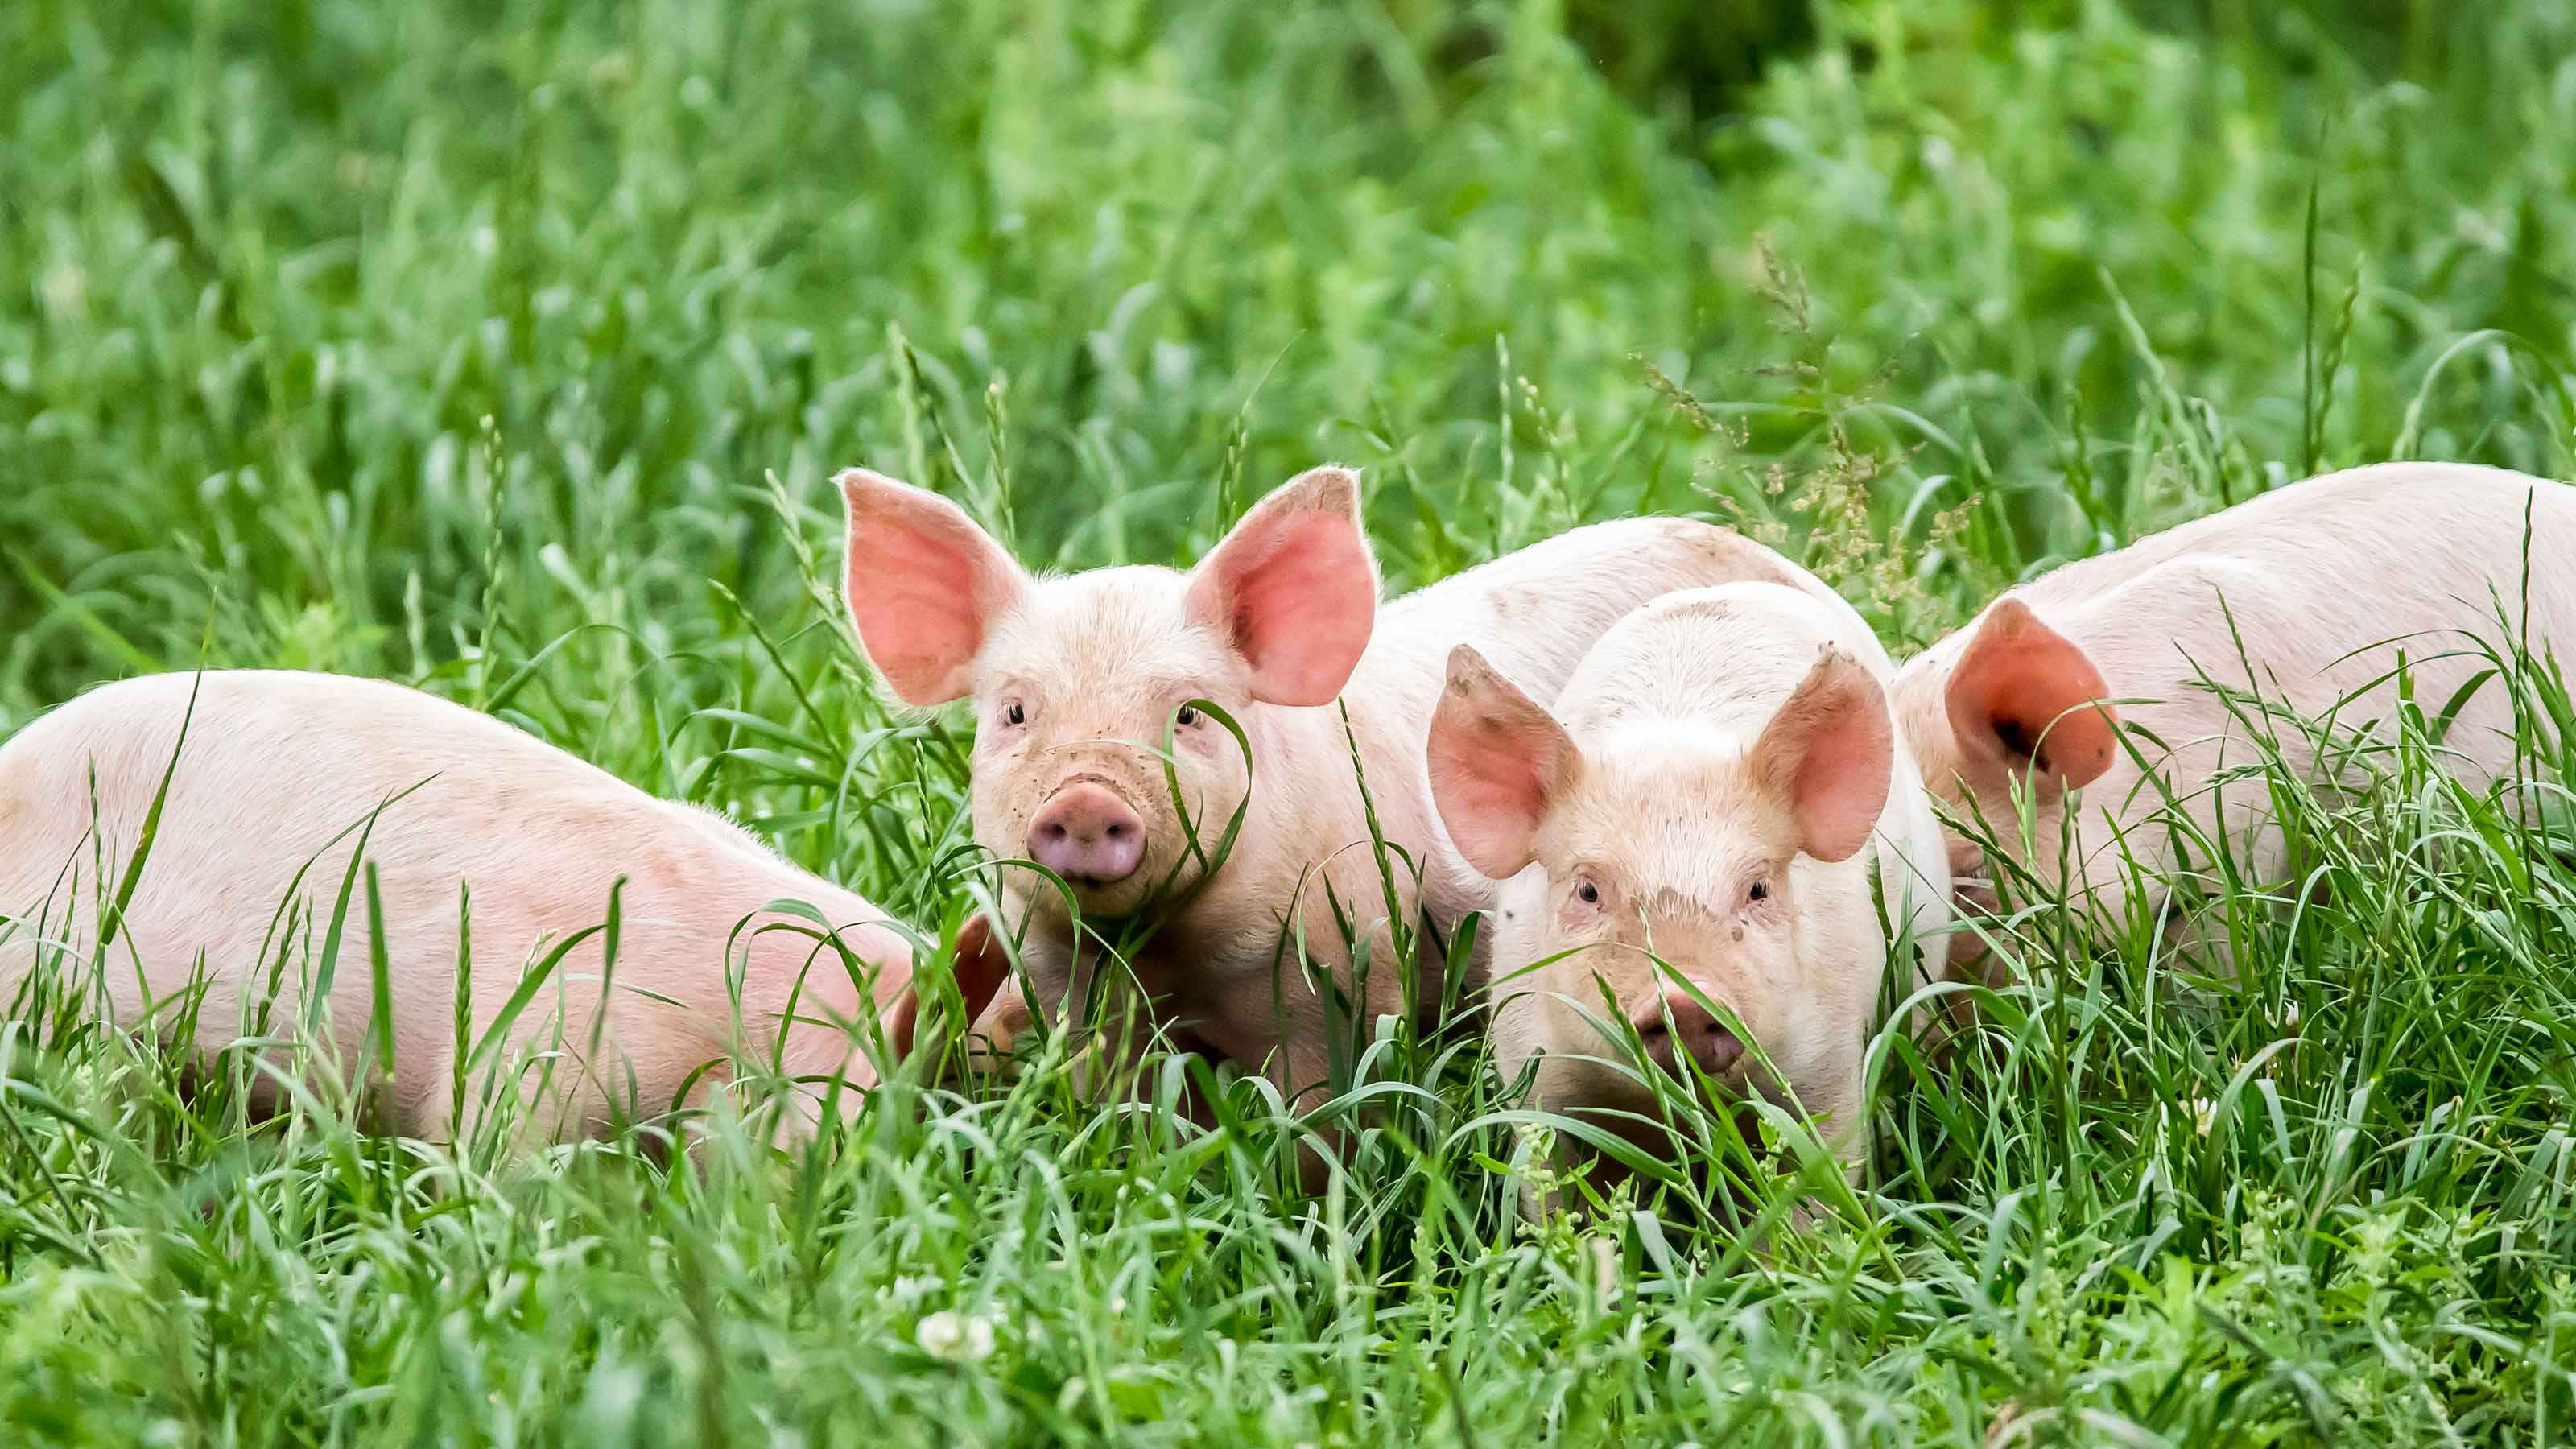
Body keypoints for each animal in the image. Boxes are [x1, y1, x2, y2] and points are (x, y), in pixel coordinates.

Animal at [839, 464, 1883, 1109]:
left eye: (1189, 715)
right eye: (1015, 712)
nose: (1086, 800)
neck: (1167, 955)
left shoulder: (1340, 973)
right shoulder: (1067, 988)